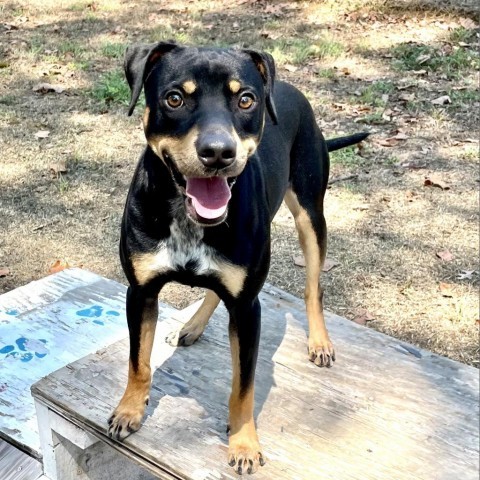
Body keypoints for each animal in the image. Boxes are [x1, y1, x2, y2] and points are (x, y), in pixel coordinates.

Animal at [108, 42, 368, 476]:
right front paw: (129, 410)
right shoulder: (140, 292)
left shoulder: (247, 309)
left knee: (313, 286)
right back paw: (192, 326)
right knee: (215, 289)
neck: (189, 218)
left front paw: (244, 444)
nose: (218, 152)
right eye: (174, 98)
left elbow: (243, 387)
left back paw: (319, 341)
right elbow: (137, 361)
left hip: (311, 215)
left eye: (246, 99)